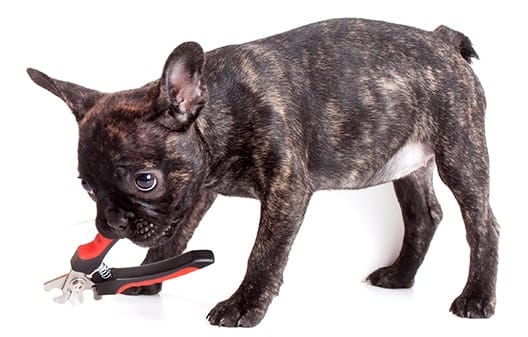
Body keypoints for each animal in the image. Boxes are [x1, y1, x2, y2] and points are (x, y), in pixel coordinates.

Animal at [27, 18, 500, 326]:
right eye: (88, 188)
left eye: (145, 180)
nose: (112, 222)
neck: (217, 109)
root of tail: (443, 40)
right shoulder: (199, 191)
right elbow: (176, 236)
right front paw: (148, 276)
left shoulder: (285, 190)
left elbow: (264, 252)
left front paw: (244, 306)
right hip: (406, 163)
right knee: (424, 216)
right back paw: (400, 276)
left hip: (460, 153)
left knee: (483, 225)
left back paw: (476, 297)